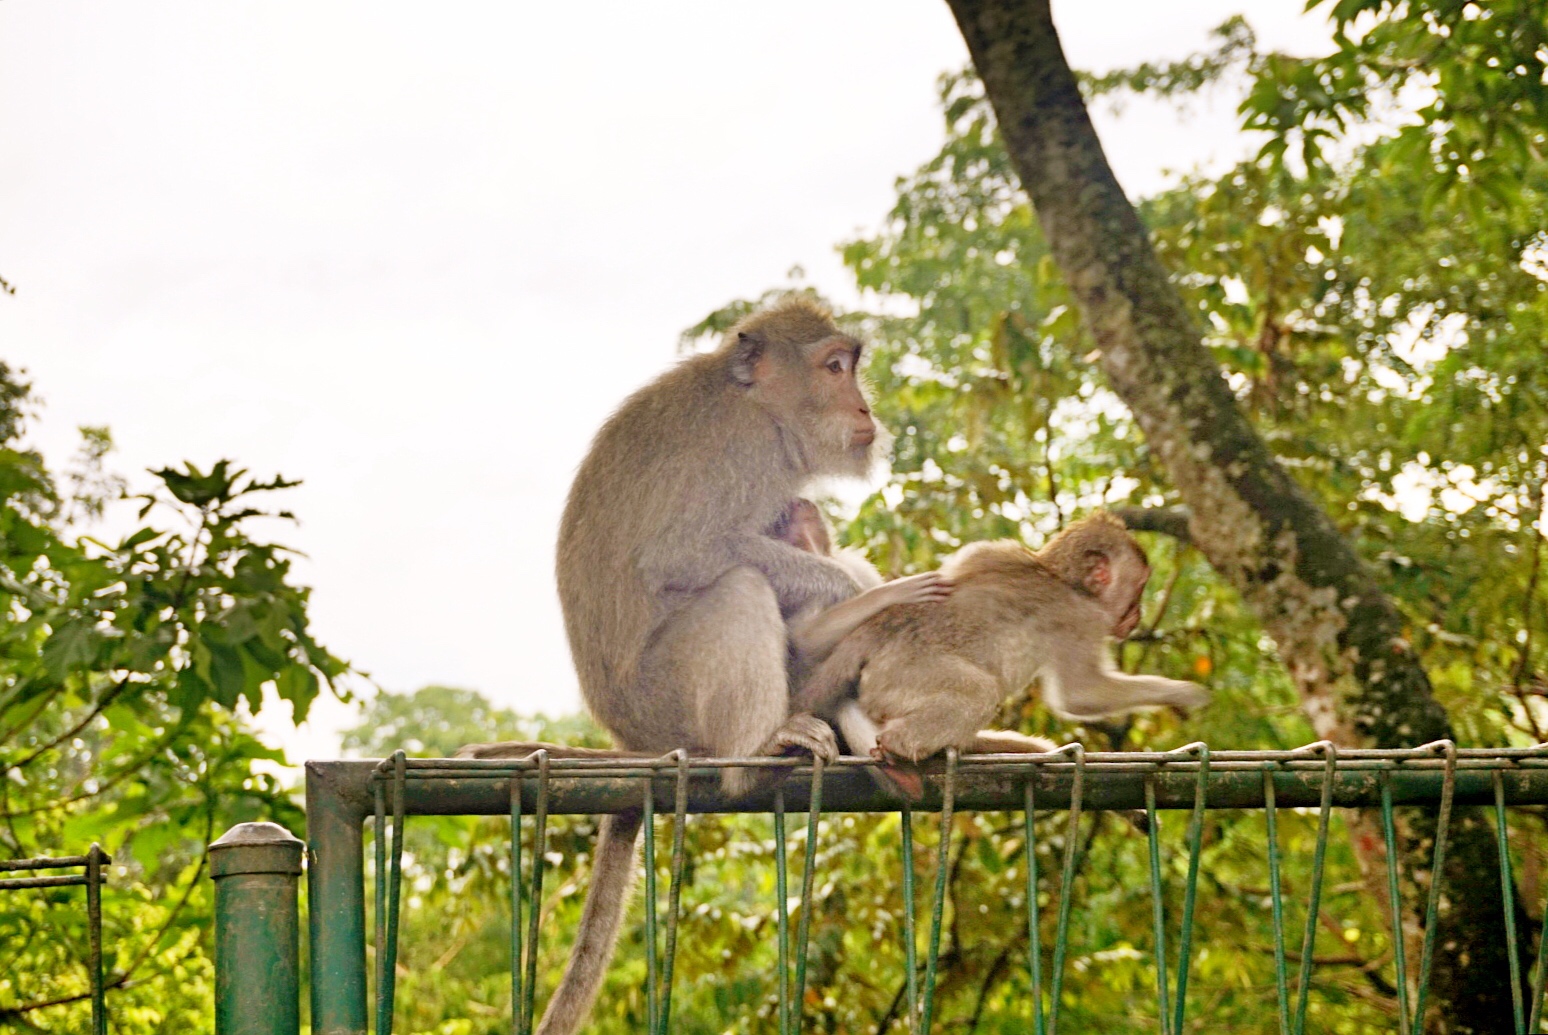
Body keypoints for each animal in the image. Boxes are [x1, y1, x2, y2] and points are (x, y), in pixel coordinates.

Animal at [464, 293, 891, 1033]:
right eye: (835, 367)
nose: (865, 407)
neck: (756, 403)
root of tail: (628, 739)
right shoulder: (748, 453)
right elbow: (683, 555)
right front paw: (848, 589)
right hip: (666, 699)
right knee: (741, 586)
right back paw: (760, 749)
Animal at [798, 513, 1207, 798]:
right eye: (1138, 590)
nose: (1137, 615)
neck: (1062, 579)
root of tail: (876, 632)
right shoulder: (1081, 619)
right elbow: (1081, 695)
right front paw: (1183, 693)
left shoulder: (990, 553)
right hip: (901, 675)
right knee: (980, 692)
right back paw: (901, 745)